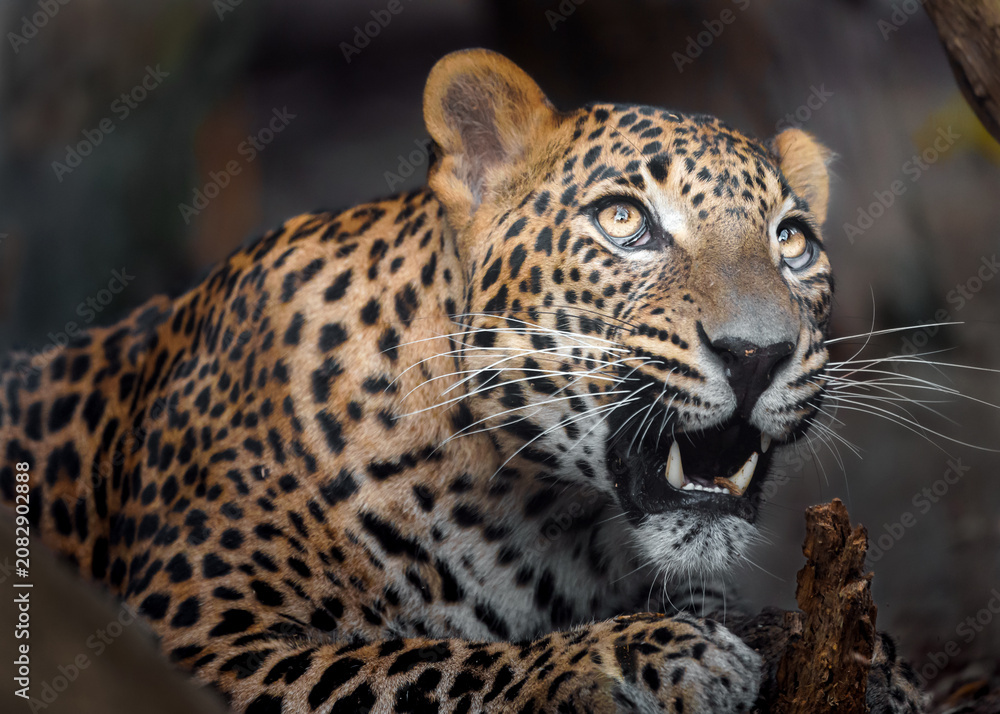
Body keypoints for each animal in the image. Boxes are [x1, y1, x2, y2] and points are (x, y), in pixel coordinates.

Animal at [0, 49, 928, 712]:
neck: (550, 523)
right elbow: (416, 665)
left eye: (793, 241)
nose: (756, 353)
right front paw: (641, 658)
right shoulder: (202, 638)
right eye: (623, 221)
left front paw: (874, 665)